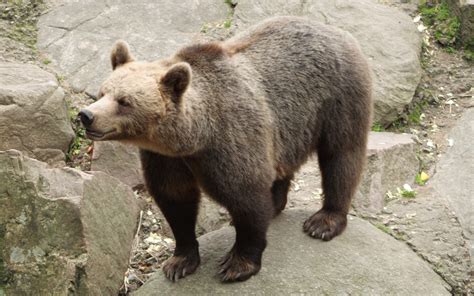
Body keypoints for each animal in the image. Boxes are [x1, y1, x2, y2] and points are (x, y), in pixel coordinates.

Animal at [78, 16, 374, 282]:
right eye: (103, 92)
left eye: (124, 101)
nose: (87, 115)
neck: (193, 138)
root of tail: (335, 30)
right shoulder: (165, 159)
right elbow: (175, 199)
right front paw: (179, 261)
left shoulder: (230, 140)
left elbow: (246, 197)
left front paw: (237, 264)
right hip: (286, 128)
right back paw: (277, 203)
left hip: (338, 97)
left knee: (341, 155)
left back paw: (324, 221)